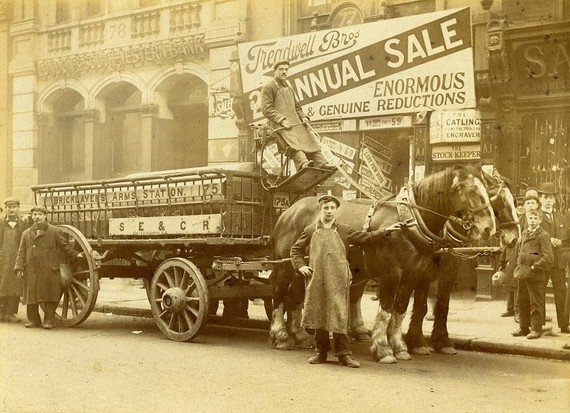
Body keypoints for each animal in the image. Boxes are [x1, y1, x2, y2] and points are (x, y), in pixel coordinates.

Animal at [268, 164, 494, 360]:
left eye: (488, 191)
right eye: (471, 190)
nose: (488, 228)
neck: (408, 223)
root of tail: (289, 210)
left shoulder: (412, 276)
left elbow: (401, 309)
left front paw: (400, 346)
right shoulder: (392, 275)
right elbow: (386, 311)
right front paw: (383, 348)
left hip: (304, 268)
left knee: (294, 296)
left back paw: (300, 335)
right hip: (285, 265)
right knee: (279, 295)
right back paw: (281, 336)